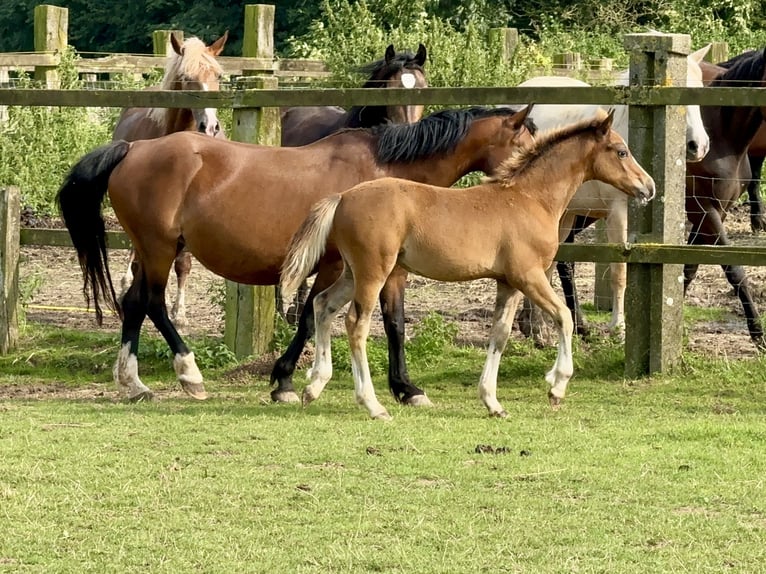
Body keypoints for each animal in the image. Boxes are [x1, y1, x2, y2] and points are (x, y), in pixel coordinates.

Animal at [57, 107, 536, 404]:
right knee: (154, 304)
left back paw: (134, 383)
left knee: (134, 303)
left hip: (153, 249)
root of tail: (133, 149)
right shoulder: (336, 265)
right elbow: (309, 317)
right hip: (158, 249)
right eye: (527, 140)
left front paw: (406, 388)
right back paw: (189, 375)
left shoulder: (390, 271)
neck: (387, 173)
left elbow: (394, 324)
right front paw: (285, 380)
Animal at [280, 110, 656, 420]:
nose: (648, 186)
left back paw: (313, 386)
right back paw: (373, 405)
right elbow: (563, 316)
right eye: (621, 151)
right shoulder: (528, 276)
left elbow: (499, 334)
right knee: (355, 324)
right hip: (374, 272)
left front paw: (493, 402)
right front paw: (556, 386)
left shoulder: (508, 282)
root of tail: (343, 198)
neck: (529, 198)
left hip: (351, 272)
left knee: (322, 305)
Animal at [516, 46, 712, 342]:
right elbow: (619, 272)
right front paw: (618, 328)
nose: (697, 146)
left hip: (565, 215)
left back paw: (534, 327)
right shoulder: (618, 214)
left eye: (699, 90)